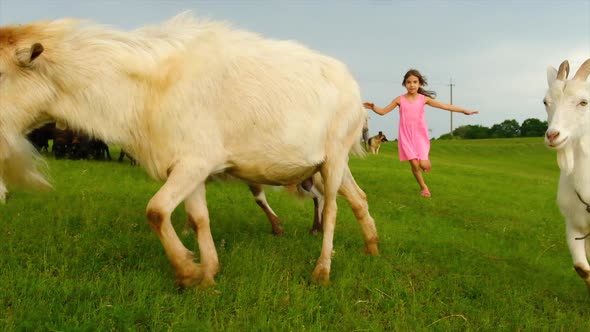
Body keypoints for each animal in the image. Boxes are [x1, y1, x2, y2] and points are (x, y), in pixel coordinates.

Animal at [0, 13, 380, 286]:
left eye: (1, 75)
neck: (146, 91)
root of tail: (353, 87)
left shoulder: (195, 162)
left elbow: (155, 211)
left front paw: (186, 270)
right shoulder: (188, 165)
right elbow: (198, 218)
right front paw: (208, 274)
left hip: (333, 157)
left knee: (332, 209)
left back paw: (322, 271)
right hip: (330, 162)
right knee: (358, 198)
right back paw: (372, 247)